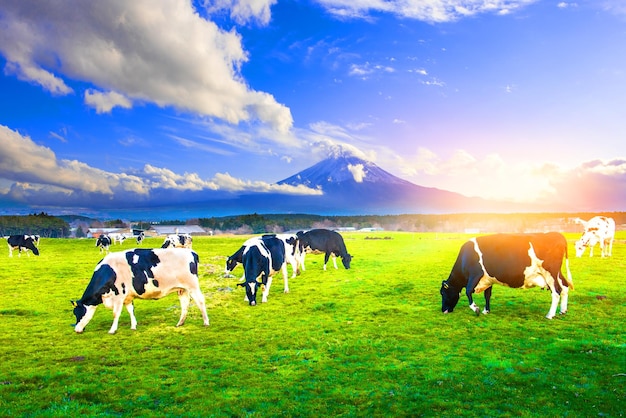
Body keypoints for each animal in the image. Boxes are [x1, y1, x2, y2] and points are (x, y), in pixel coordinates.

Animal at [70, 248, 207, 334]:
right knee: (185, 304)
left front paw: (112, 330)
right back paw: (180, 323)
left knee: (200, 301)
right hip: (182, 289)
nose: (77, 330)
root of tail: (191, 252)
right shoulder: (127, 297)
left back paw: (206, 322)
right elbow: (130, 310)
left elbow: (116, 313)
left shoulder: (119, 295)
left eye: (77, 313)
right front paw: (133, 326)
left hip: (193, 285)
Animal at [436, 233, 572, 318]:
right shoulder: (488, 279)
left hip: (550, 274)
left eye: (443, 293)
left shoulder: (475, 274)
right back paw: (563, 311)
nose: (443, 310)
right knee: (565, 287)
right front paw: (486, 310)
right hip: (557, 273)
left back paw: (550, 315)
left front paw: (476, 309)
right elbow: (487, 295)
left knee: (556, 292)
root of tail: (557, 234)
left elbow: (468, 291)